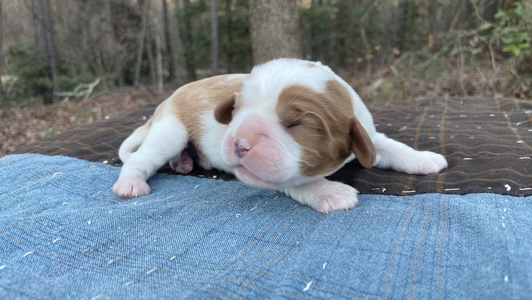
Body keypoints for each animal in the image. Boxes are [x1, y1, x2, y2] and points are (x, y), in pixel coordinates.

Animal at [114, 59, 446, 213]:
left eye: (297, 124)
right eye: (236, 109)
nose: (239, 142)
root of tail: (166, 100)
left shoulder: (365, 130)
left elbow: (390, 147)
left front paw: (423, 158)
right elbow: (299, 181)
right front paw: (330, 192)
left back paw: (184, 162)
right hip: (171, 130)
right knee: (140, 159)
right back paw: (131, 183)